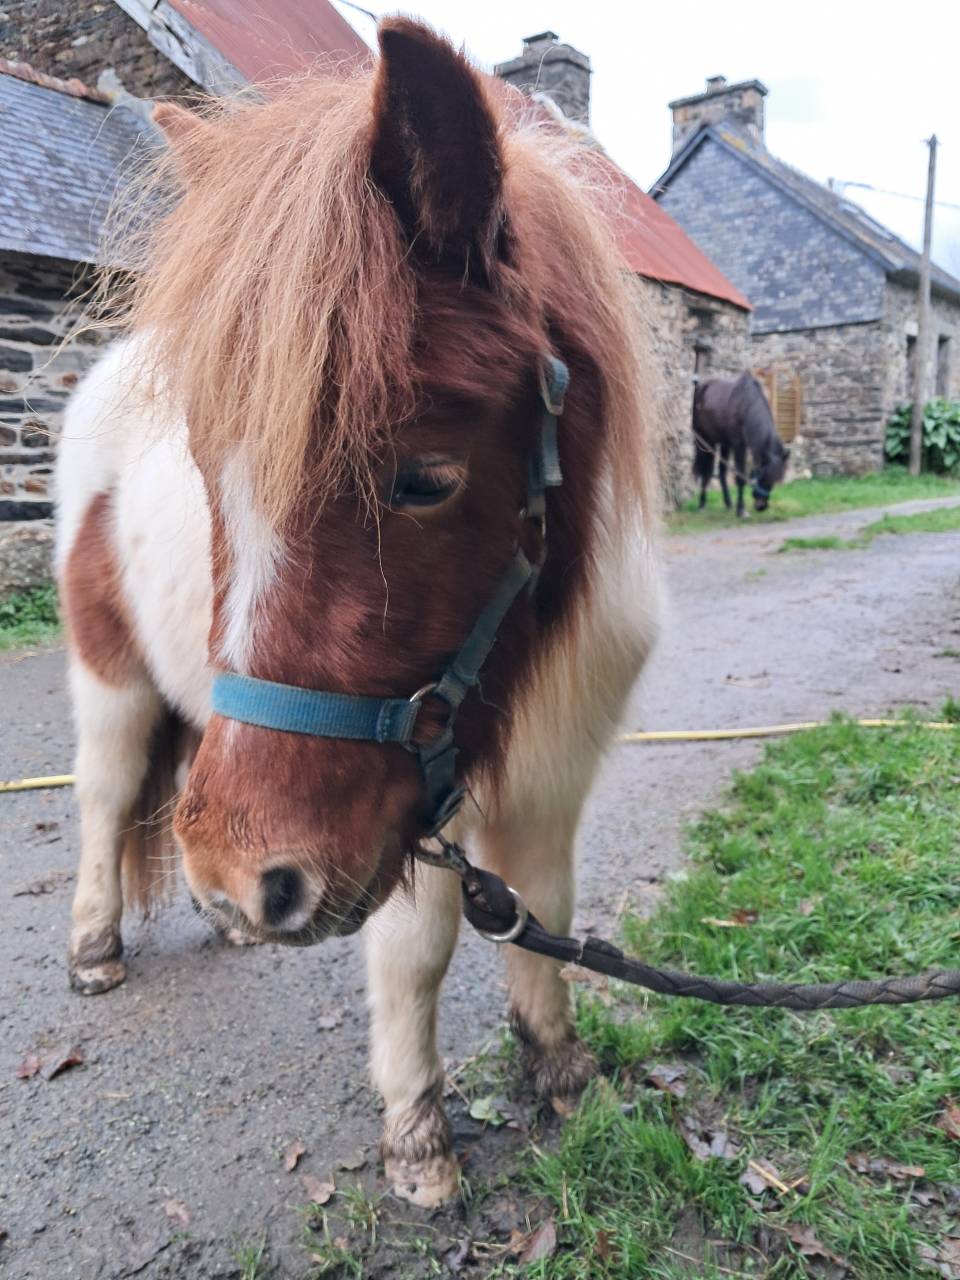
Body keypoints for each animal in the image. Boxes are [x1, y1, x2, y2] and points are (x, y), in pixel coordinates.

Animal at [54, 19, 661, 1208]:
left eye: (424, 479)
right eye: (209, 471)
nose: (252, 875)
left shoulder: (550, 775)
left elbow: (548, 911)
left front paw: (563, 1077)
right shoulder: (405, 813)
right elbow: (416, 951)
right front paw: (419, 1137)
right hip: (110, 678)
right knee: (104, 792)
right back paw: (100, 946)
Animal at [692, 372, 790, 514]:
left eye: (775, 479)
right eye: (763, 476)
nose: (761, 506)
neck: (746, 404)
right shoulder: (739, 446)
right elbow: (740, 477)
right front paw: (741, 509)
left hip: (724, 444)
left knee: (722, 472)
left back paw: (728, 503)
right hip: (706, 441)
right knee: (706, 472)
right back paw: (702, 503)